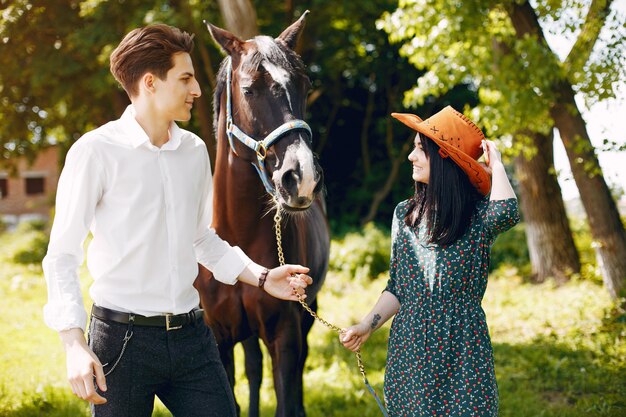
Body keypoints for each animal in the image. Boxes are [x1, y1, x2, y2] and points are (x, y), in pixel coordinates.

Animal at [196, 13, 330, 416]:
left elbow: (287, 389)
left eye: (305, 85)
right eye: (249, 90)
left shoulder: (285, 335)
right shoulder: (220, 338)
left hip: (308, 310)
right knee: (253, 368)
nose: (302, 178)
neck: (237, 235)